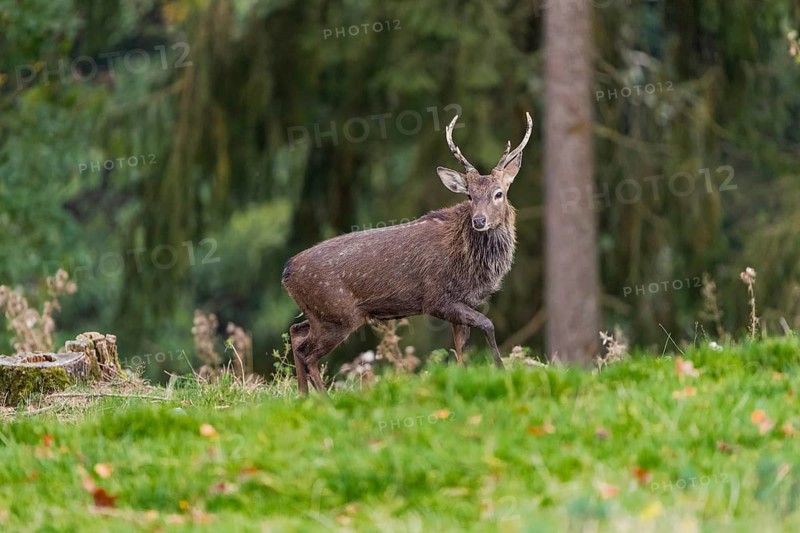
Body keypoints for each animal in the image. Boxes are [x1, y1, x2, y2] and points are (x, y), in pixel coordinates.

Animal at [282, 112, 532, 394]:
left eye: (498, 193)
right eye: (469, 195)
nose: (479, 220)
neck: (472, 264)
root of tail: (286, 272)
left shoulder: (462, 301)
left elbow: (461, 350)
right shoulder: (437, 299)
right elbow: (488, 324)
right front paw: (502, 372)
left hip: (319, 314)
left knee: (296, 332)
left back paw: (303, 394)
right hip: (337, 315)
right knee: (307, 352)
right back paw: (323, 398)